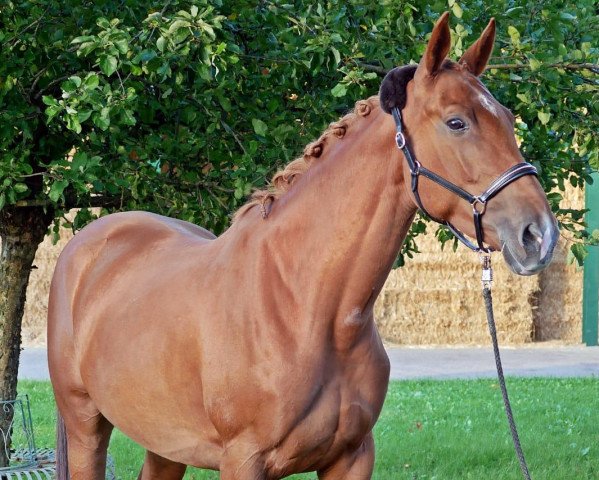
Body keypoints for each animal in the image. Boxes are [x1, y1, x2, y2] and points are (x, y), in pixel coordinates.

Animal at [49, 14, 560, 480]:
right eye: (457, 122)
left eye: (507, 118)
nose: (538, 235)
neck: (305, 308)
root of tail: (87, 244)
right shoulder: (244, 461)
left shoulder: (351, 458)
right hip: (86, 425)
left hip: (166, 443)